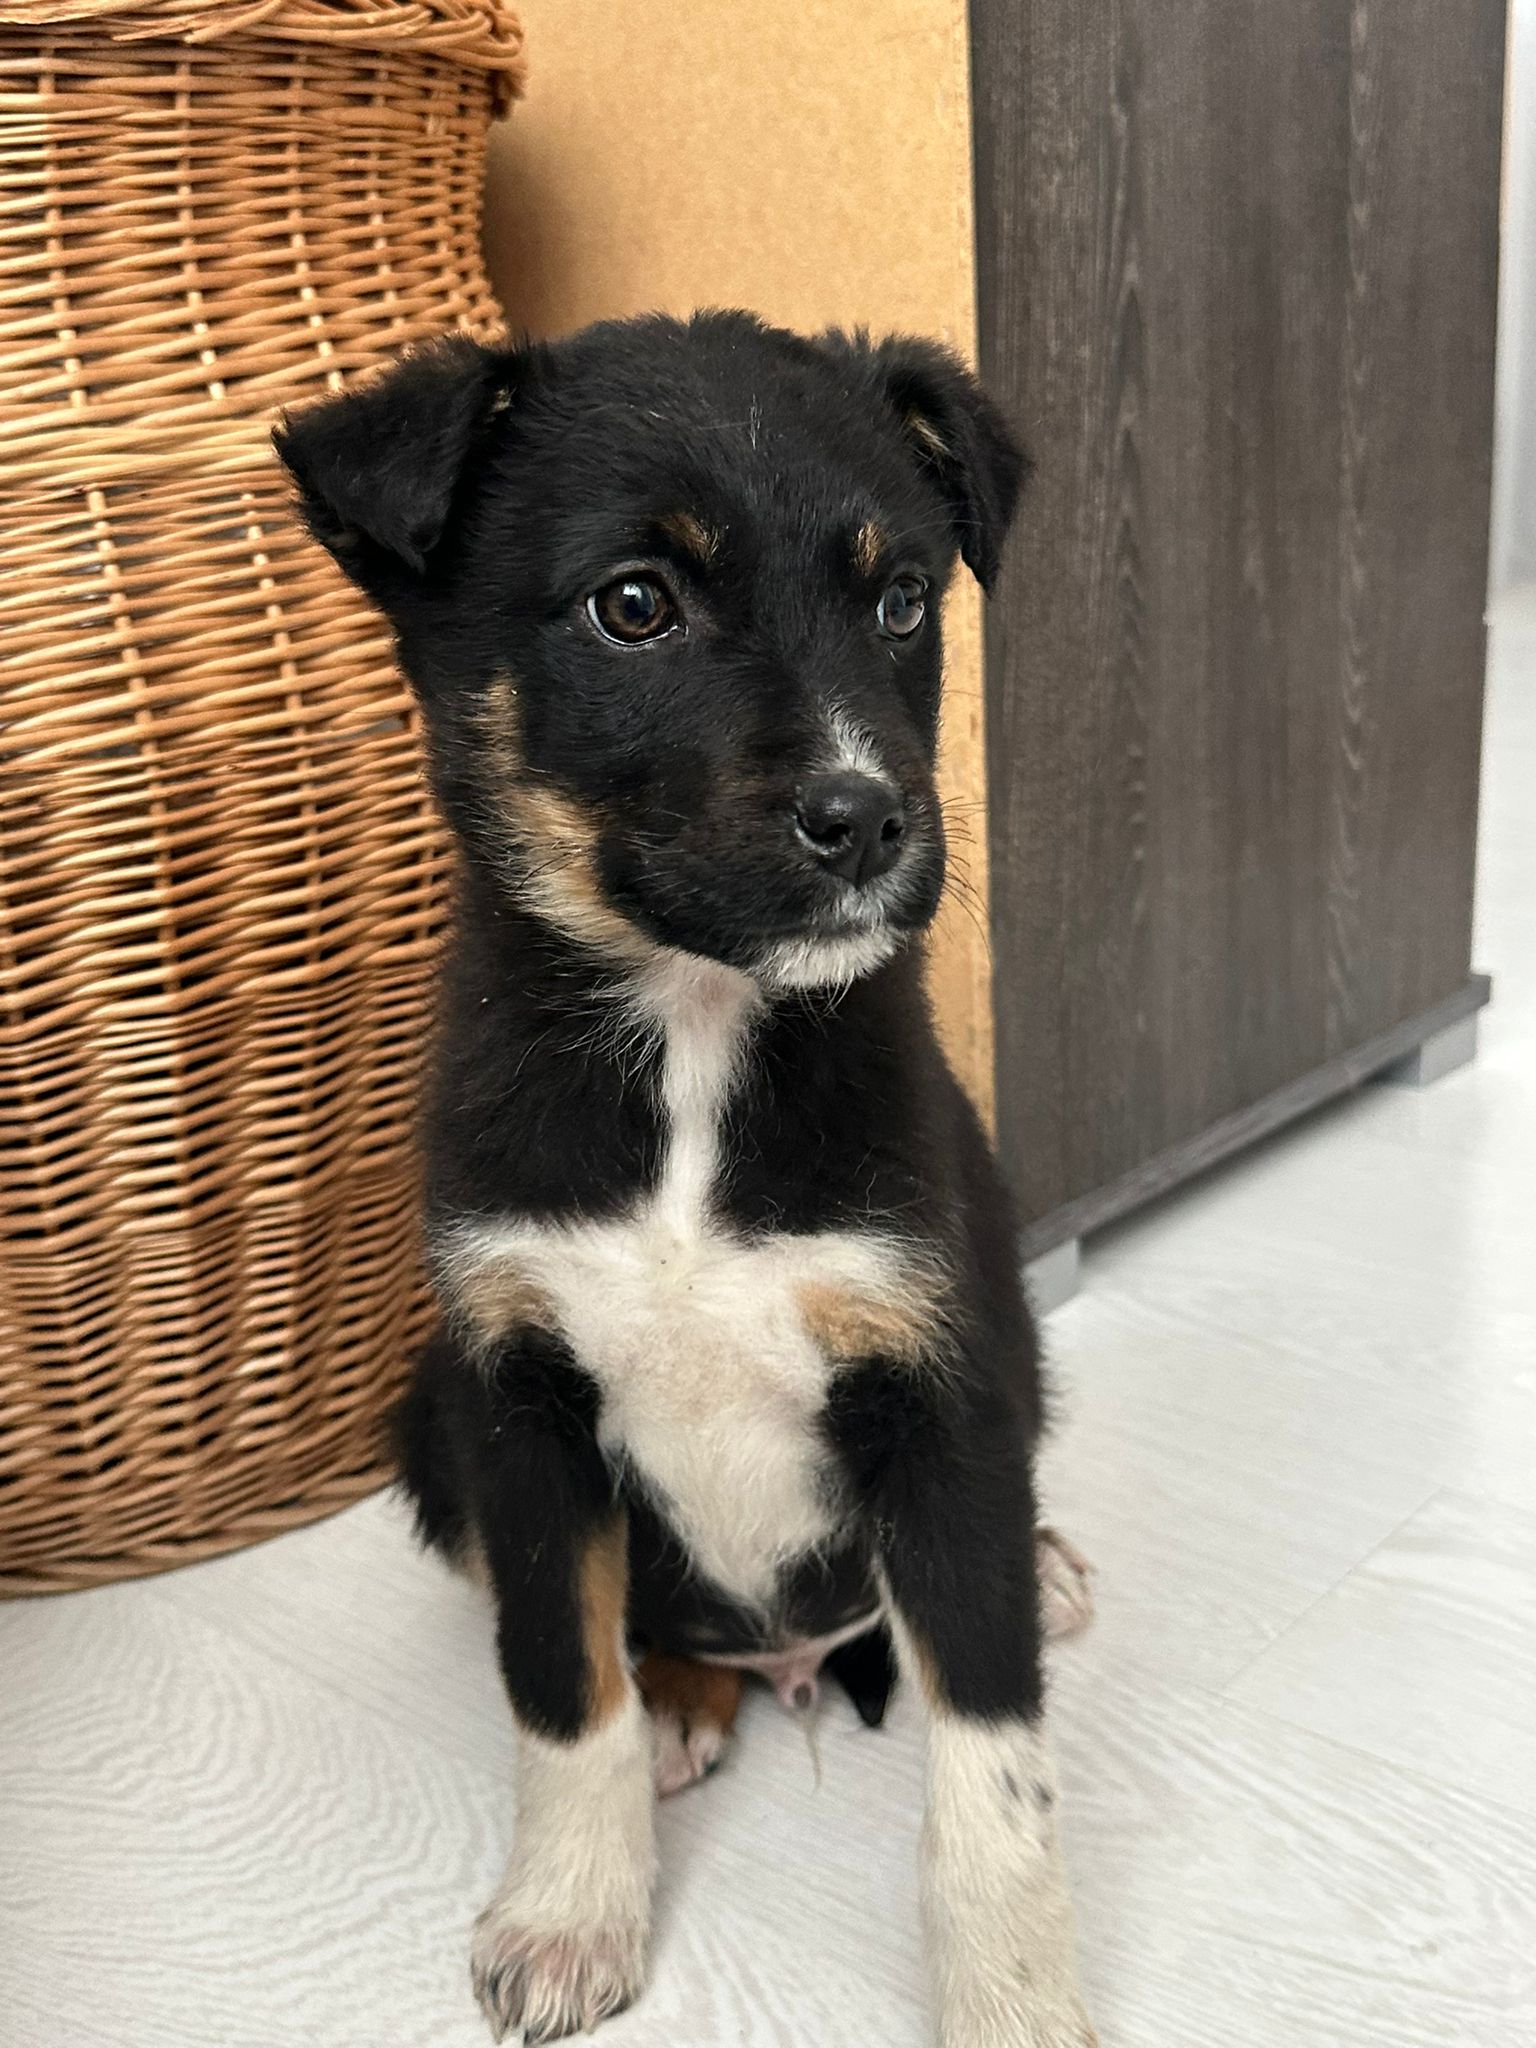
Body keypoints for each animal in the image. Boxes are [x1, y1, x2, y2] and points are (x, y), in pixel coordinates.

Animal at [274, 310, 1097, 2048]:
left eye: (900, 598)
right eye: (634, 604)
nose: (870, 821)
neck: (696, 1041)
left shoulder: (939, 1381)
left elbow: (992, 1767)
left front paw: (1010, 1992)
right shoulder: (516, 1398)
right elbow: (556, 1678)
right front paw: (571, 1912)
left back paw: (1043, 1571)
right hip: (426, 1421)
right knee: (638, 1634)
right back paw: (681, 1701)